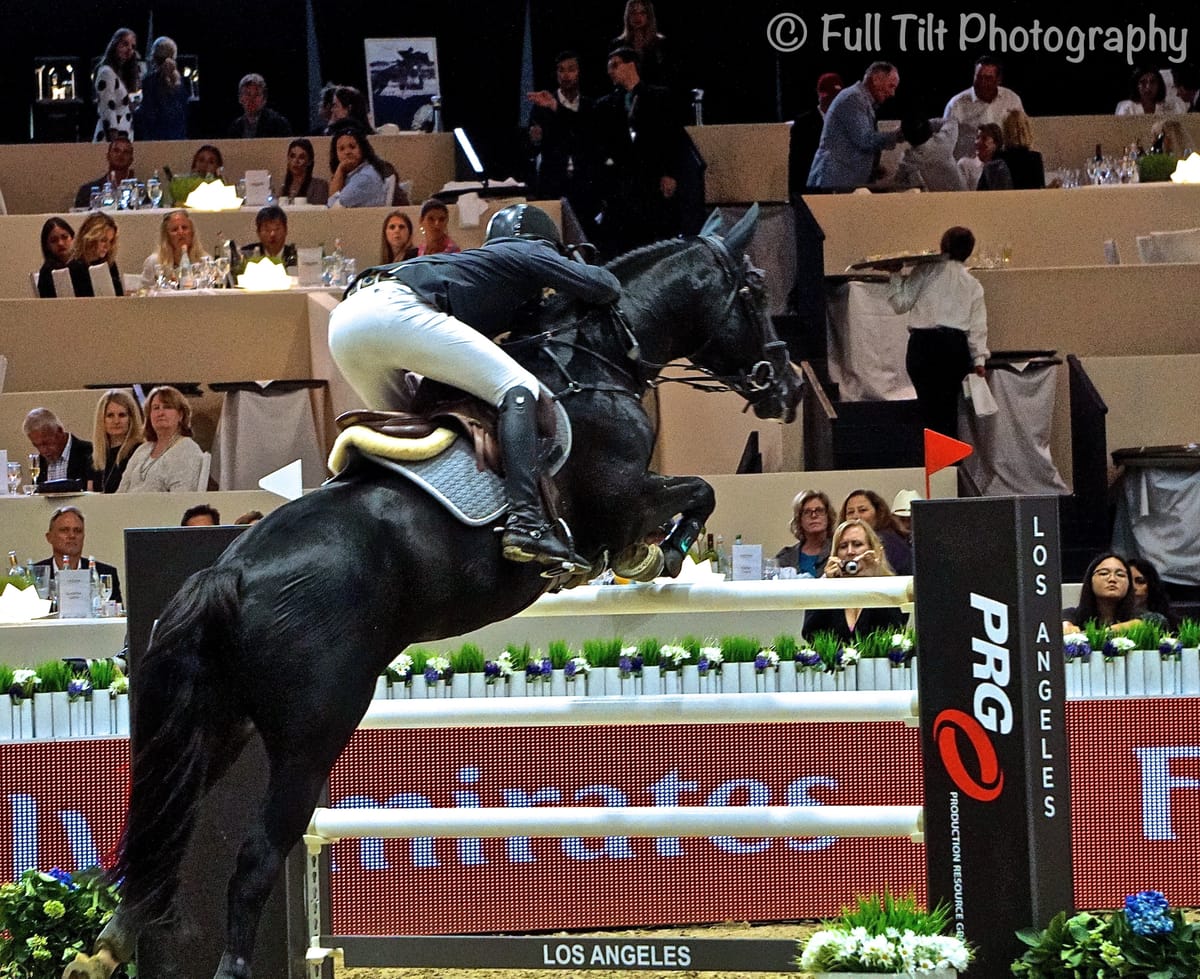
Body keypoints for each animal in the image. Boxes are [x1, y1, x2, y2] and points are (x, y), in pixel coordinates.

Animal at [66, 205, 801, 979]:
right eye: (754, 290)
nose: (788, 387)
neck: (598, 360)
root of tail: (227, 574)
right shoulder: (625, 497)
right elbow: (699, 491)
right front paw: (658, 552)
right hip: (312, 732)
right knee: (256, 857)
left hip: (215, 721)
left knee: (160, 833)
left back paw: (104, 948)